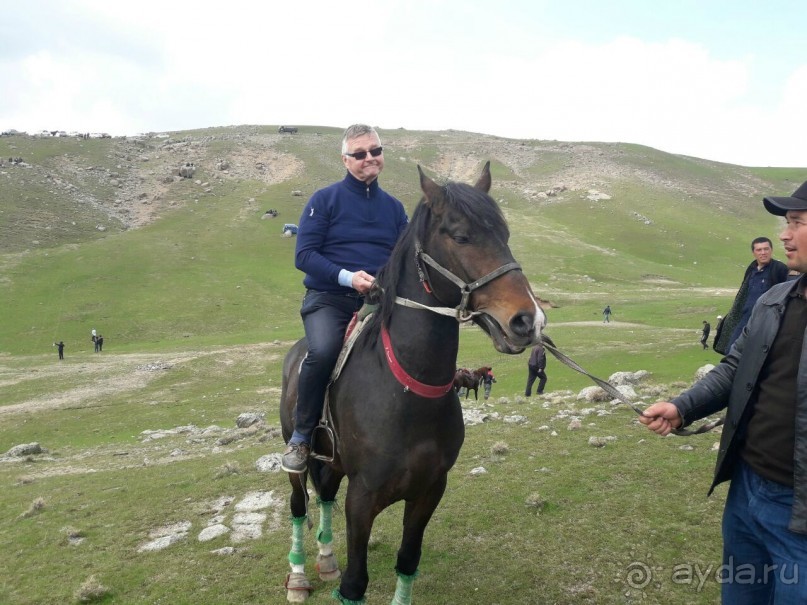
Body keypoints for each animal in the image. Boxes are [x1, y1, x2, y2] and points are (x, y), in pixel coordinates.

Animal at [280, 162, 548, 604]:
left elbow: (407, 561)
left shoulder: (429, 491)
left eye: (505, 235)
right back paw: (300, 576)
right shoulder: (362, 498)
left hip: (334, 463)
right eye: (460, 236)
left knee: (326, 496)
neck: (408, 391)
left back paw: (326, 559)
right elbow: (355, 583)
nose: (529, 321)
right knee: (299, 504)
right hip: (298, 457)